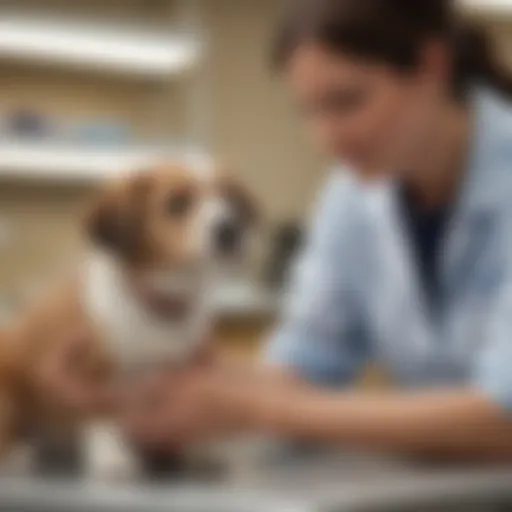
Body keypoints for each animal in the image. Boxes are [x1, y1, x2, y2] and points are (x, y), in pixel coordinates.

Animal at [0, 162, 256, 478]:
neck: (157, 307)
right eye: (177, 203)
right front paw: (113, 456)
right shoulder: (91, 369)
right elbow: (103, 410)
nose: (229, 230)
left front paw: (199, 448)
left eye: (229, 200)